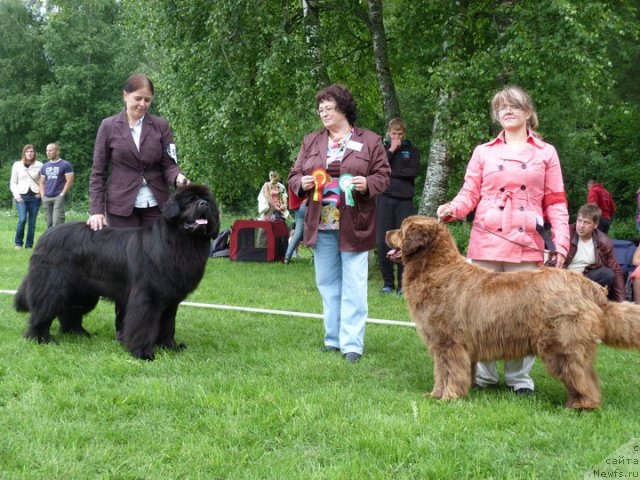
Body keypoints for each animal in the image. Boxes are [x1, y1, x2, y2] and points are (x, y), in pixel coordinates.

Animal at [14, 184, 220, 360]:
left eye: (207, 200)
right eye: (190, 201)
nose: (203, 204)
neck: (180, 241)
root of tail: (45, 236)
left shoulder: (170, 298)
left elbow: (168, 324)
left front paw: (170, 347)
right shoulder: (148, 296)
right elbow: (143, 325)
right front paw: (142, 352)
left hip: (82, 292)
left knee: (69, 312)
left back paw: (78, 334)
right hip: (53, 287)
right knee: (43, 311)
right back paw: (40, 338)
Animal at [384, 217, 640, 408]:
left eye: (402, 229)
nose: (387, 231)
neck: (437, 269)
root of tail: (588, 286)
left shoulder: (449, 342)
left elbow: (450, 371)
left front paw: (448, 398)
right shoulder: (443, 344)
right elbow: (441, 371)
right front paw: (435, 395)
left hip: (562, 343)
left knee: (580, 376)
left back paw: (581, 405)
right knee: (588, 375)